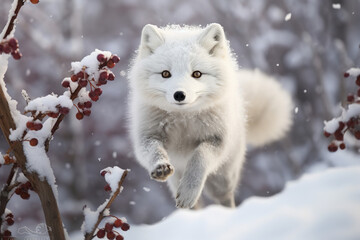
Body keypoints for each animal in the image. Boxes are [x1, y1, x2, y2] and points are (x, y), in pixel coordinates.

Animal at [128, 23, 292, 209]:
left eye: (197, 74)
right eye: (165, 74)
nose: (179, 95)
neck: (184, 120)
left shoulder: (217, 141)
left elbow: (199, 157)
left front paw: (189, 191)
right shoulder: (146, 138)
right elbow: (153, 152)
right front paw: (161, 166)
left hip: (223, 179)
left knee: (225, 198)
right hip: (176, 179)